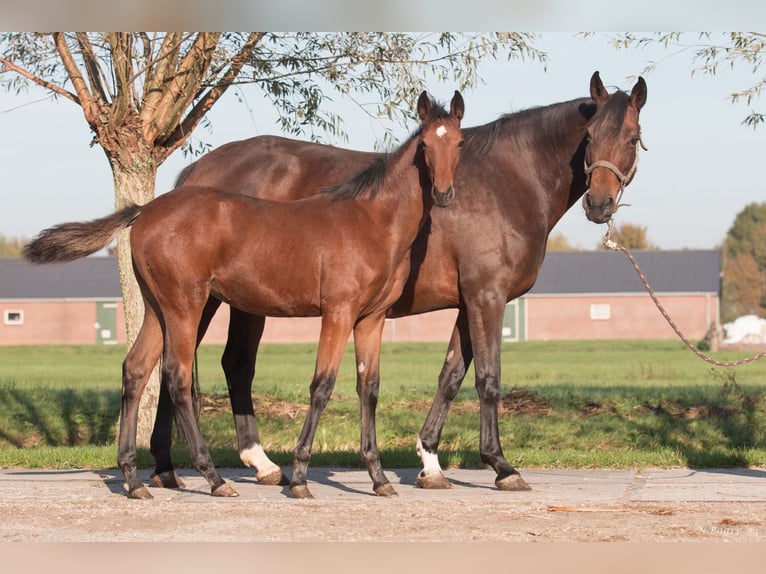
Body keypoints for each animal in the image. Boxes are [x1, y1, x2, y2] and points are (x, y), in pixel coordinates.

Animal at [22, 90, 468, 500]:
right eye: (424, 145)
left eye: (459, 143)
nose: (445, 193)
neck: (371, 219)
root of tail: (144, 210)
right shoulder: (337, 312)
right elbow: (321, 386)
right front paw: (300, 479)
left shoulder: (371, 319)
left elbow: (369, 388)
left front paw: (378, 479)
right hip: (186, 305)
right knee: (177, 376)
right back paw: (213, 478)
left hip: (156, 308)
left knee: (136, 370)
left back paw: (134, 480)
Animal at [146, 71, 648, 496]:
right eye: (589, 137)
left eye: (631, 138)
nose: (600, 205)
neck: (508, 179)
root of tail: (195, 175)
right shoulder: (487, 296)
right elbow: (487, 379)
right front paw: (501, 466)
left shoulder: (468, 302)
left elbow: (450, 376)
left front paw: (430, 462)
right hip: (210, 300)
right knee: (207, 366)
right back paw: (222, 465)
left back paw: (185, 468)